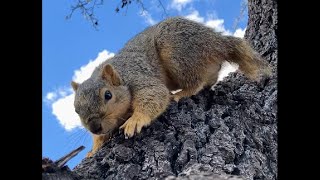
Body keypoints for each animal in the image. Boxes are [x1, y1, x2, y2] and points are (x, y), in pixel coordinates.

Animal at [70, 17, 270, 158]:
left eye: (108, 95)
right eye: (76, 110)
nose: (95, 127)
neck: (121, 75)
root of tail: (216, 41)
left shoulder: (139, 77)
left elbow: (155, 94)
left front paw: (135, 120)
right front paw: (94, 147)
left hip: (177, 52)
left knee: (196, 82)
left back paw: (181, 93)